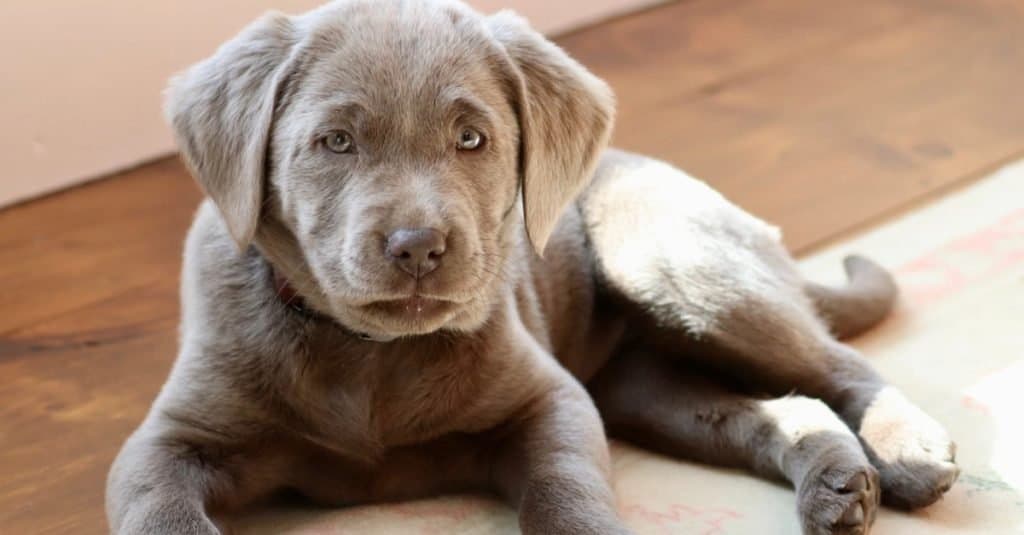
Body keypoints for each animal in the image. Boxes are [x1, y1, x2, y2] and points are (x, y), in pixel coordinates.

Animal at [108, 2, 954, 528]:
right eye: (336, 142)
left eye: (472, 138)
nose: (418, 246)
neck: (368, 357)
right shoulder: (166, 443)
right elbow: (161, 512)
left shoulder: (553, 400)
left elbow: (564, 490)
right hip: (647, 391)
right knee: (784, 409)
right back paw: (836, 483)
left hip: (674, 266)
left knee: (834, 365)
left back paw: (906, 449)